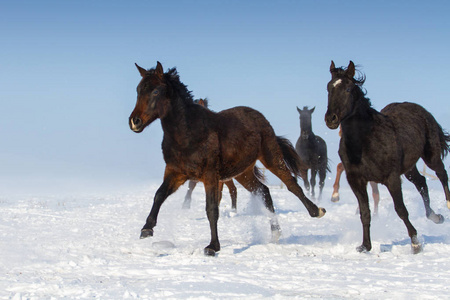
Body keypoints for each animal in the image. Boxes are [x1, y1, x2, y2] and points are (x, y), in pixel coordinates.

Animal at [128, 61, 326, 255]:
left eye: (155, 91)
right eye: (138, 90)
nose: (134, 122)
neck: (189, 133)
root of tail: (261, 118)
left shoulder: (210, 175)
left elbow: (211, 208)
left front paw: (212, 246)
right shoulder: (175, 172)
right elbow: (159, 194)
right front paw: (146, 229)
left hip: (270, 157)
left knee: (292, 184)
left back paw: (317, 211)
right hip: (243, 173)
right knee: (264, 191)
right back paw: (275, 233)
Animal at [326, 60, 448, 253]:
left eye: (347, 89)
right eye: (329, 87)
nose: (331, 119)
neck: (365, 140)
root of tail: (421, 109)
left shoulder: (391, 178)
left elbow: (401, 209)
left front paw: (415, 243)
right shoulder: (356, 180)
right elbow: (365, 212)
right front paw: (365, 246)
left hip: (431, 156)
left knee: (442, 174)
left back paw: (448, 204)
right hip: (409, 168)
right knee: (421, 182)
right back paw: (435, 216)